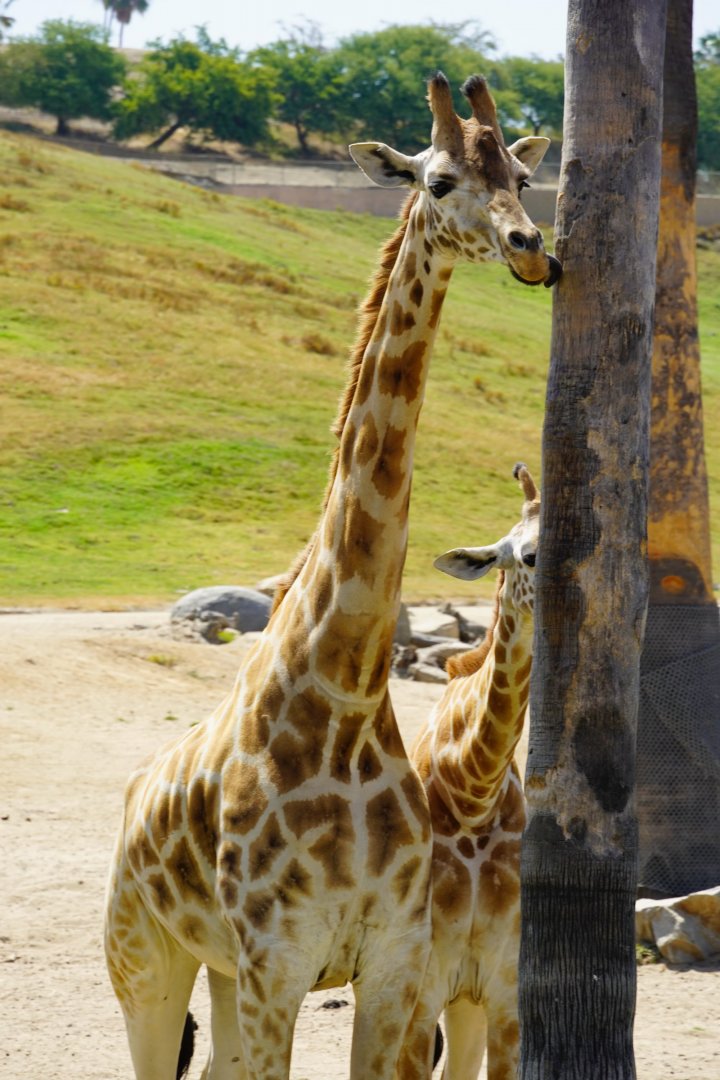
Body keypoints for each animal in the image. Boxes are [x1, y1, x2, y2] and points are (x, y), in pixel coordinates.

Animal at [104, 75, 558, 1080]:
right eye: (436, 180)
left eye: (519, 177)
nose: (531, 250)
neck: (345, 694)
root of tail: (135, 790)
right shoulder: (280, 960)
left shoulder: (392, 963)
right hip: (146, 963)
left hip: (223, 975)